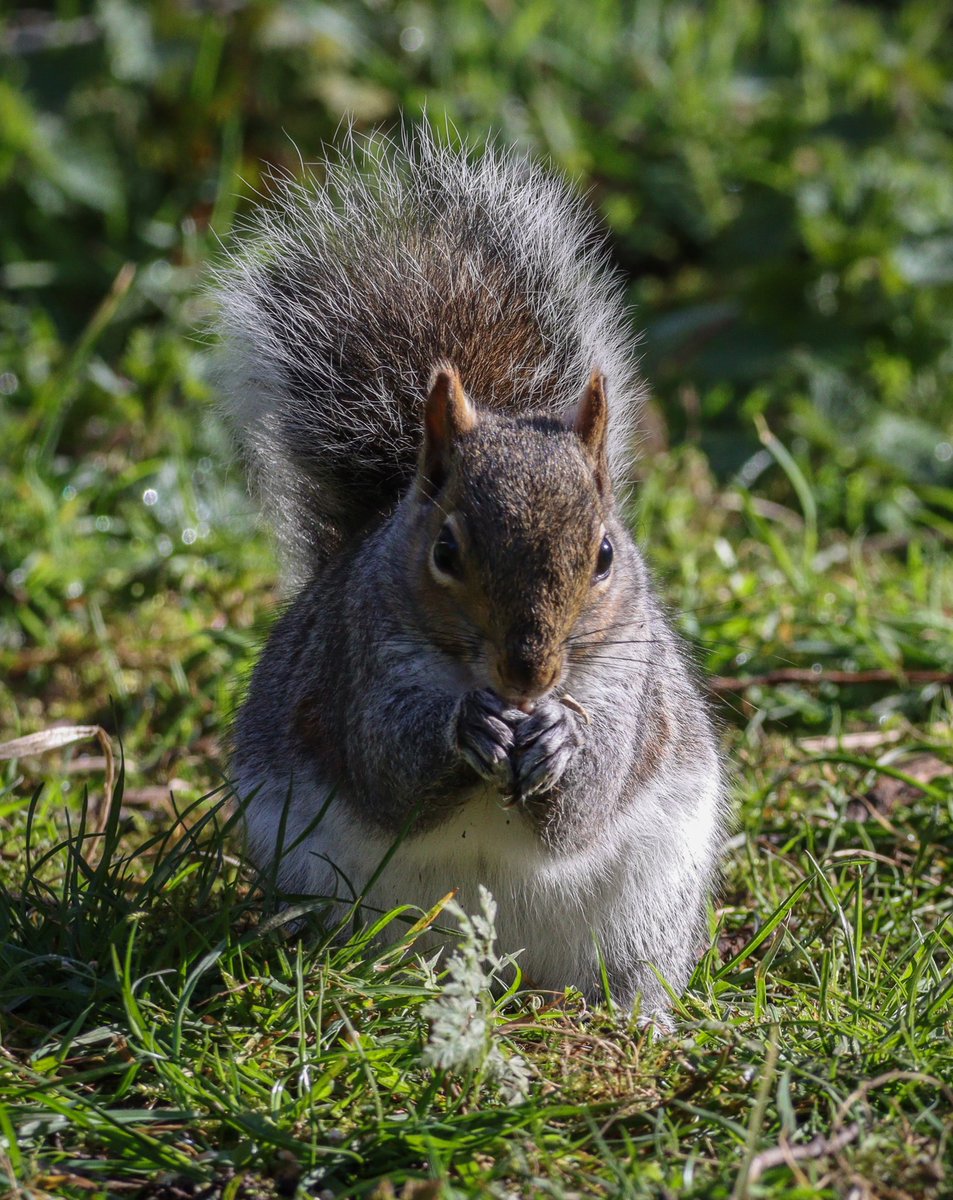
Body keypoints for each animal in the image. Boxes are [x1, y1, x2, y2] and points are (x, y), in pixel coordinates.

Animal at [213, 127, 725, 1019]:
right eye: (445, 553)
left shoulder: (629, 684)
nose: (528, 674)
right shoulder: (358, 666)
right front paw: (469, 729)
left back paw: (642, 1020)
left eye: (604, 555)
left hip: (646, 909)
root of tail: (510, 971)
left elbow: (588, 800)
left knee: (632, 973)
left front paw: (559, 738)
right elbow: (387, 771)